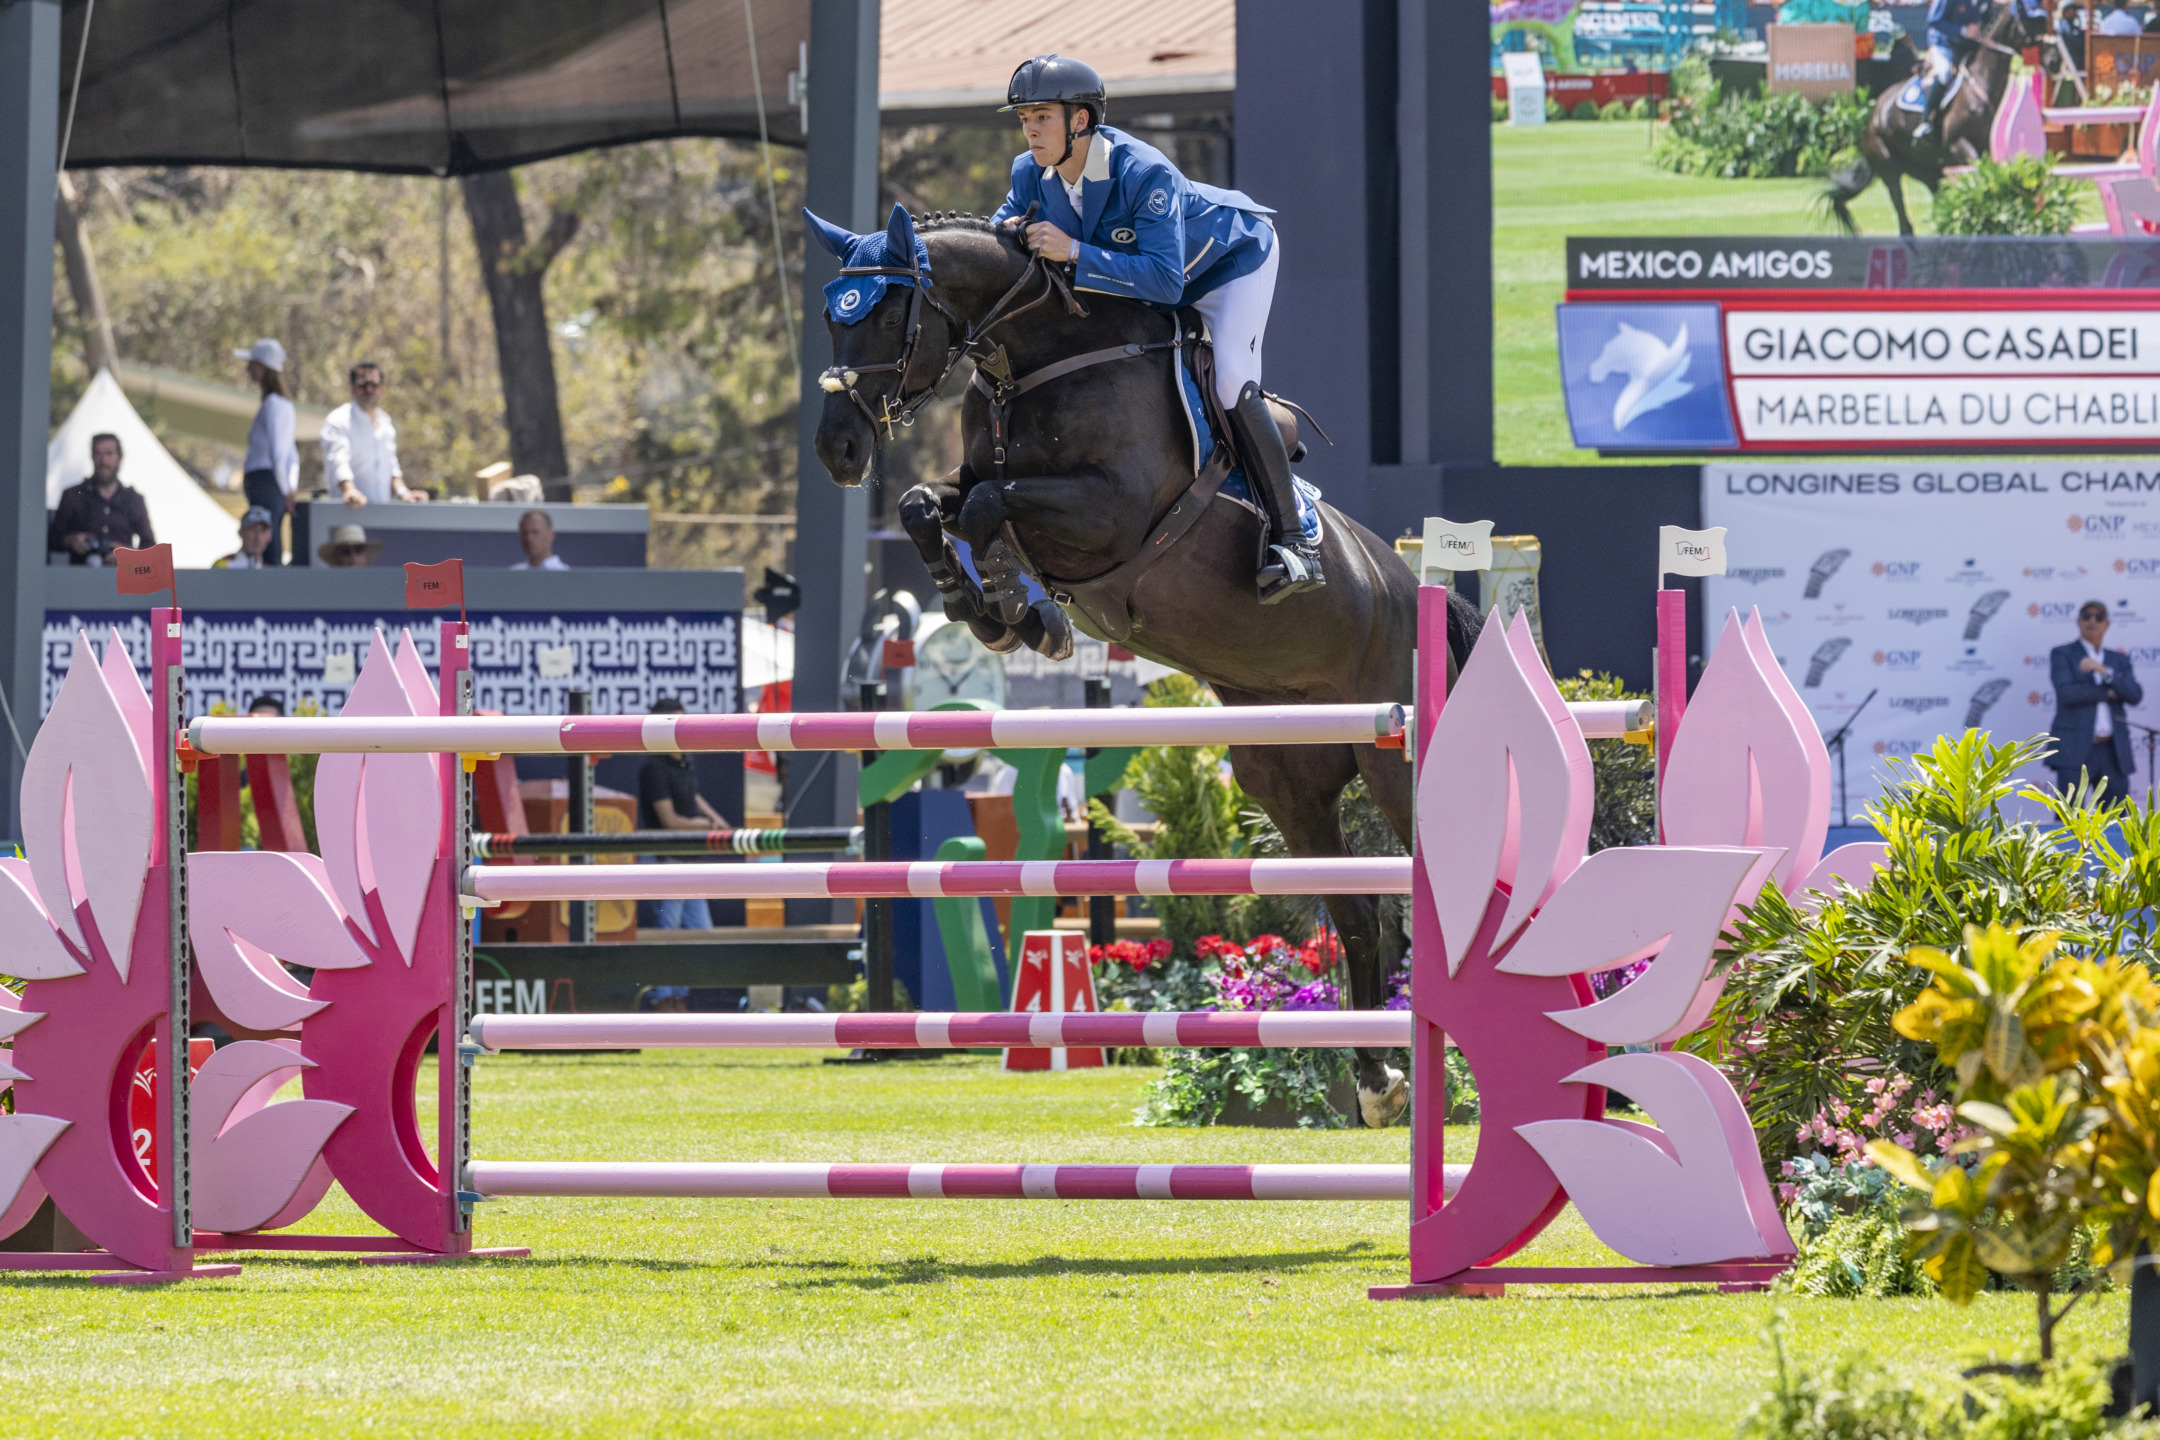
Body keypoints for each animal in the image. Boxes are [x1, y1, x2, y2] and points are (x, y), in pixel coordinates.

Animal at [812, 202, 1486, 1122]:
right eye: (830, 317)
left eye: (885, 316)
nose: (837, 452)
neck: (1037, 357)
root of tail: (1413, 588)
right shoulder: (978, 480)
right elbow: (930, 503)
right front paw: (992, 607)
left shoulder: (1110, 511)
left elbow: (988, 506)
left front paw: (1022, 610)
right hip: (1286, 777)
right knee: (1358, 910)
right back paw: (1379, 1083)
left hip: (1393, 759)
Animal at [1831, 0, 2047, 236]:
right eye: (2028, 22)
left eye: (2044, 21)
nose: (2053, 60)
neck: (1981, 85)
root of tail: (1870, 120)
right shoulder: (1957, 144)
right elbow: (1977, 166)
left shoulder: (1986, 143)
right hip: (1889, 169)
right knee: (1903, 219)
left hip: (1927, 170)